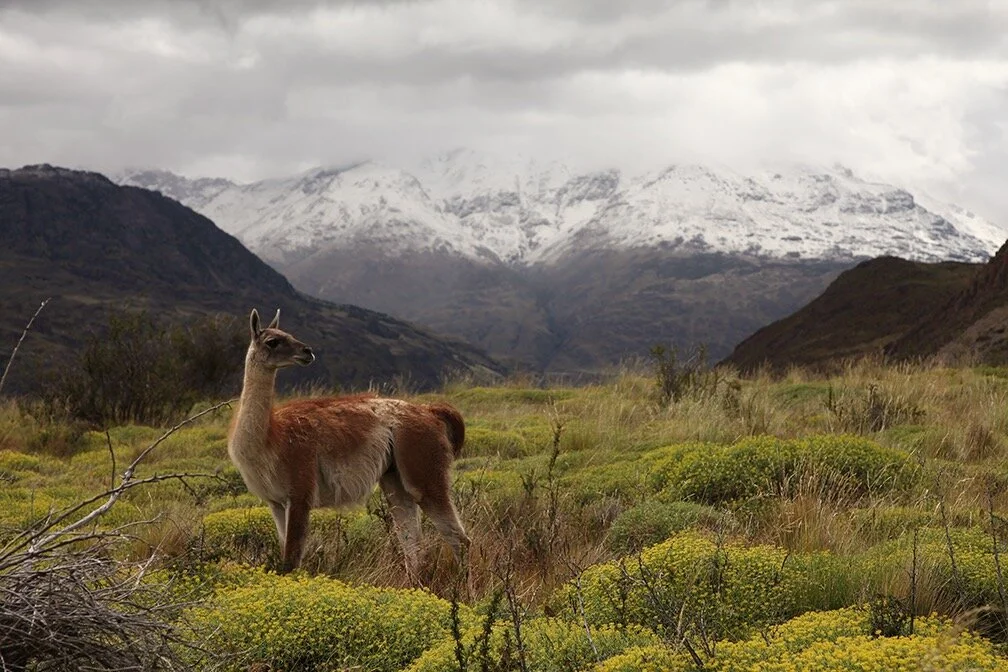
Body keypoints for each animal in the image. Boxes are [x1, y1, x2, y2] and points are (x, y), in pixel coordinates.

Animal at [227, 308, 470, 578]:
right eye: (273, 341)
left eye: (289, 335)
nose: (307, 351)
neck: (270, 439)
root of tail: (429, 410)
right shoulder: (276, 502)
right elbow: (285, 554)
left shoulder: (300, 491)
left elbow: (291, 561)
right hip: (394, 476)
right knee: (414, 545)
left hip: (422, 462)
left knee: (459, 539)